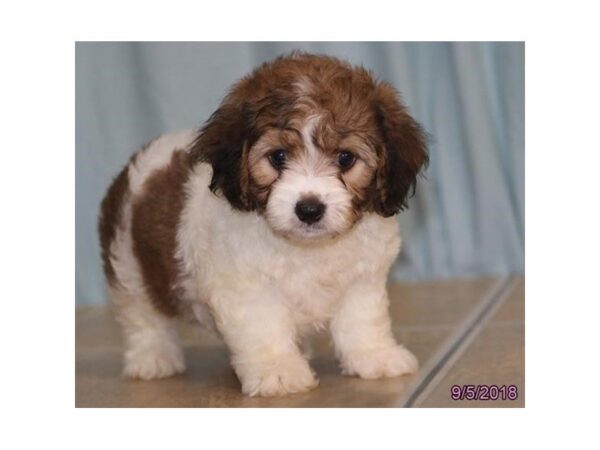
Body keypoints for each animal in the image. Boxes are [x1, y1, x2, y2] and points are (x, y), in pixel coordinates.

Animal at [98, 53, 426, 398]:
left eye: (345, 158)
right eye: (278, 157)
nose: (309, 209)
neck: (307, 247)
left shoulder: (362, 279)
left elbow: (361, 320)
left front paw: (374, 355)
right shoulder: (246, 286)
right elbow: (263, 326)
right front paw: (277, 370)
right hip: (128, 263)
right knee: (142, 317)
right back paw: (152, 358)